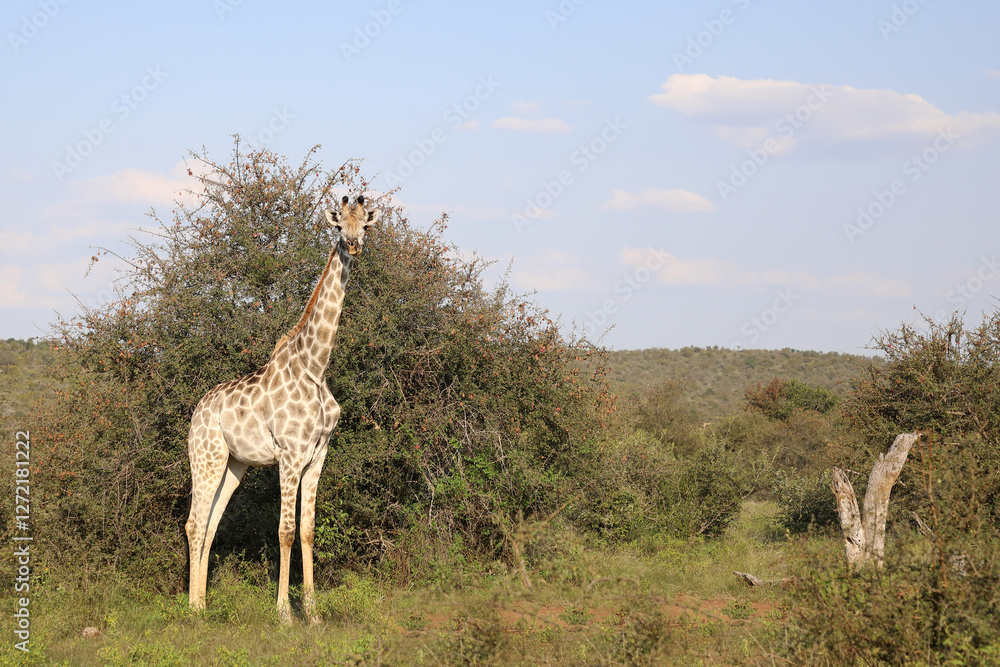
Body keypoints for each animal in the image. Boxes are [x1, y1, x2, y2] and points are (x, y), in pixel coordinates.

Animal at [185, 194, 378, 624]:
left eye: (366, 226)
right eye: (339, 225)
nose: (354, 245)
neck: (316, 366)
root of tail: (196, 413)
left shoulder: (318, 455)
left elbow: (306, 530)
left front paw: (314, 613)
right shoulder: (290, 455)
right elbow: (285, 531)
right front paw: (286, 615)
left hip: (233, 465)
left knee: (210, 525)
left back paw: (202, 604)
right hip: (205, 459)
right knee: (193, 523)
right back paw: (191, 609)